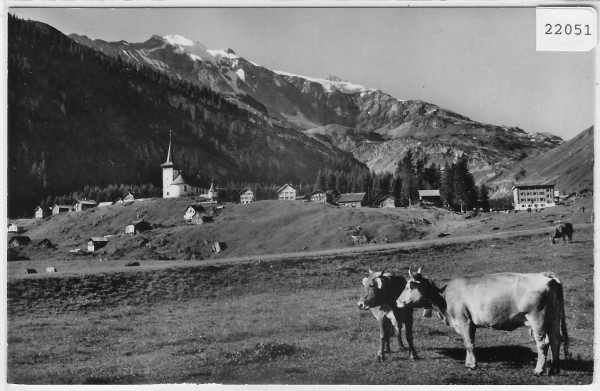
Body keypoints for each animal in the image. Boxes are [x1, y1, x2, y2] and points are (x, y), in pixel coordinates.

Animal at [396, 268, 568, 376]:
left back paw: (539, 370)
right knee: (555, 340)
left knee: (543, 344)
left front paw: (472, 365)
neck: (444, 299)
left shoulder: (464, 321)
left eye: (409, 287)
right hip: (553, 318)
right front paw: (468, 362)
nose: (397, 302)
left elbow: (468, 344)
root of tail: (546, 276)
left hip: (537, 319)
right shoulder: (470, 324)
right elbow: (469, 343)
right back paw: (553, 369)